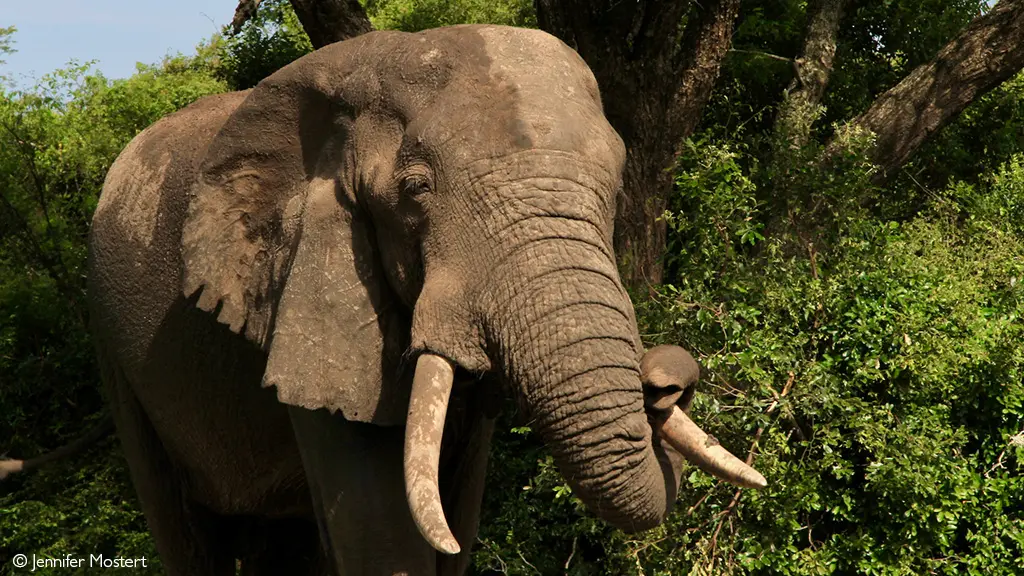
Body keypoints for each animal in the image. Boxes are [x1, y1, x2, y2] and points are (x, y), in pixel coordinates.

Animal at [86, 24, 764, 575]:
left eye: (618, 190)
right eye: (416, 189)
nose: (665, 379)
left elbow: (457, 516)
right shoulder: (307, 289)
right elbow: (379, 529)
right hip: (116, 352)